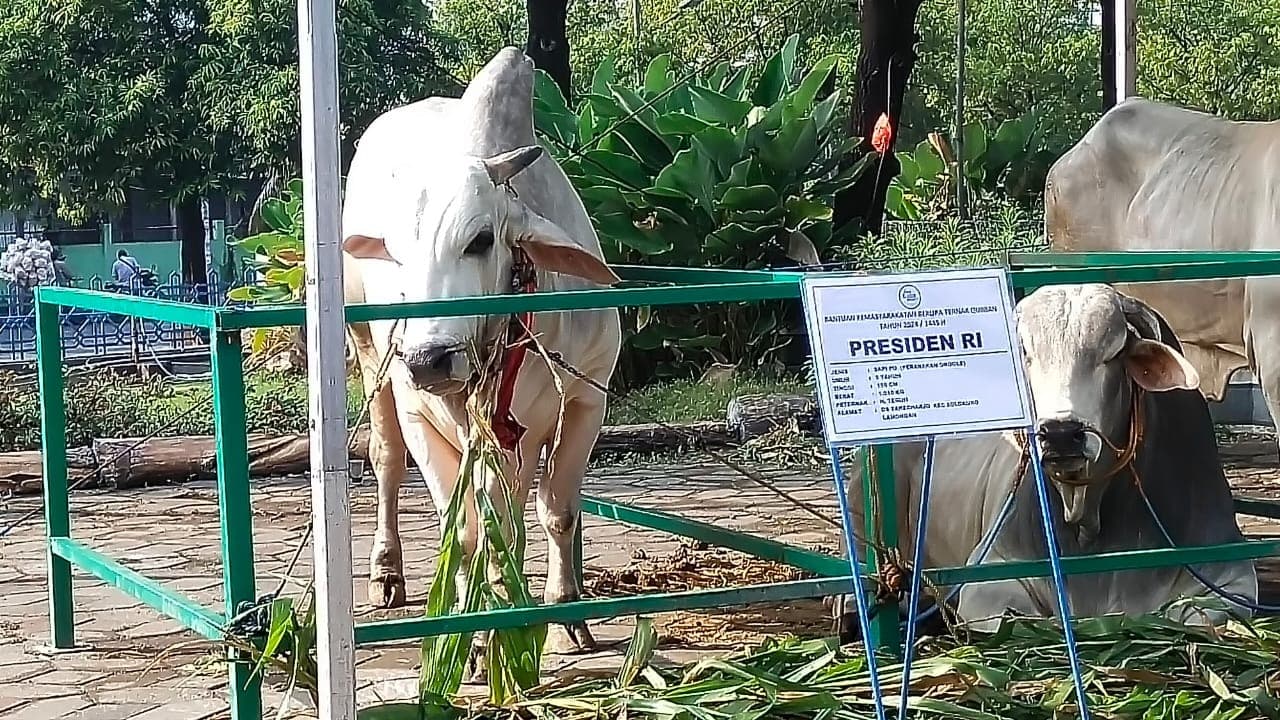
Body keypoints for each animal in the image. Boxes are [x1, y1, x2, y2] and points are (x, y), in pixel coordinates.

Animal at [340, 47, 619, 661]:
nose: (429, 359)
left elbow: (553, 513)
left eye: (481, 239)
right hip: (370, 356)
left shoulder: (586, 398)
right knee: (386, 460)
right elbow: (466, 530)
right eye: (394, 253)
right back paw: (386, 573)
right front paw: (476, 637)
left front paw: (563, 614)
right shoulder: (420, 411)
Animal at [834, 283, 1254, 630]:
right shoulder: (988, 578)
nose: (1060, 433)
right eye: (1024, 353)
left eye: (1112, 353)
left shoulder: (1231, 577)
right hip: (863, 504)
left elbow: (1199, 616)